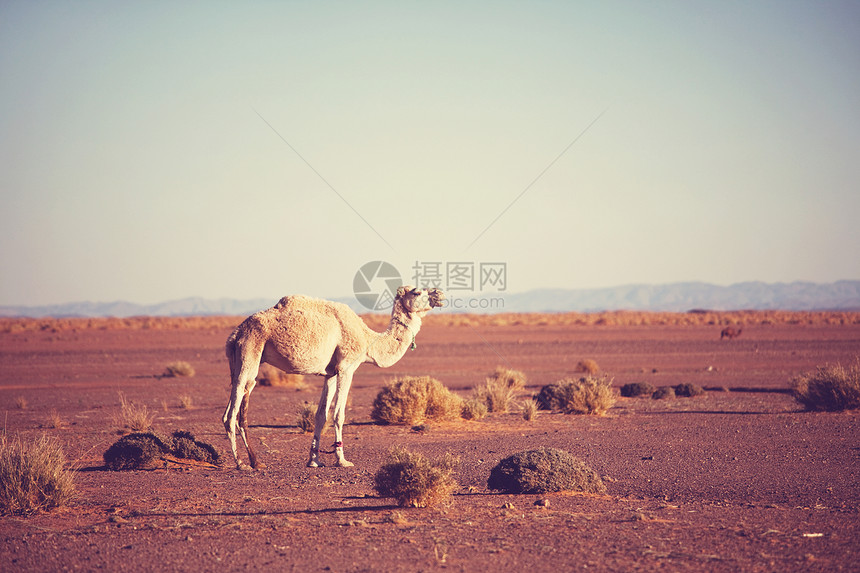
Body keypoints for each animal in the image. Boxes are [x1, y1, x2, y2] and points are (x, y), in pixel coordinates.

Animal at [222, 286, 444, 470]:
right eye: (417, 291)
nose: (439, 294)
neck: (368, 341)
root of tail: (235, 333)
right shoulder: (347, 367)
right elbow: (339, 414)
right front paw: (342, 460)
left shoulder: (329, 373)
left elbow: (321, 415)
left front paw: (314, 460)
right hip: (250, 348)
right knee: (234, 409)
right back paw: (242, 463)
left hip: (239, 358)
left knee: (235, 400)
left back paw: (255, 461)